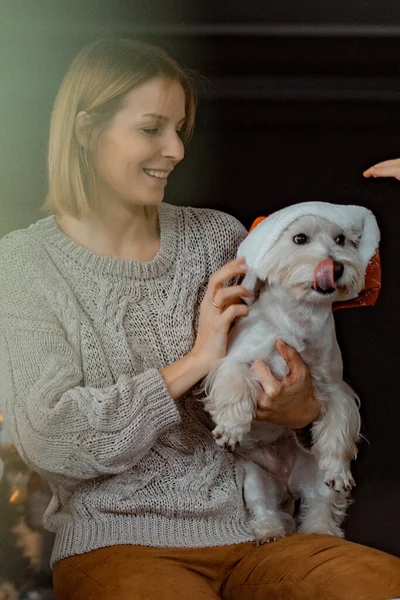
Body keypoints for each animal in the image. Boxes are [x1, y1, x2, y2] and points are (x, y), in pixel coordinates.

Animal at [205, 202, 380, 544]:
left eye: (341, 239)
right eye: (300, 238)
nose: (335, 267)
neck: (299, 316)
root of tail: (287, 485)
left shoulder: (333, 386)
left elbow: (338, 426)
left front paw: (340, 469)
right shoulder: (235, 361)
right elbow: (236, 386)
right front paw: (231, 427)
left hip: (314, 477)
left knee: (321, 504)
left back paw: (321, 530)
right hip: (254, 479)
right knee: (263, 508)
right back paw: (270, 531)